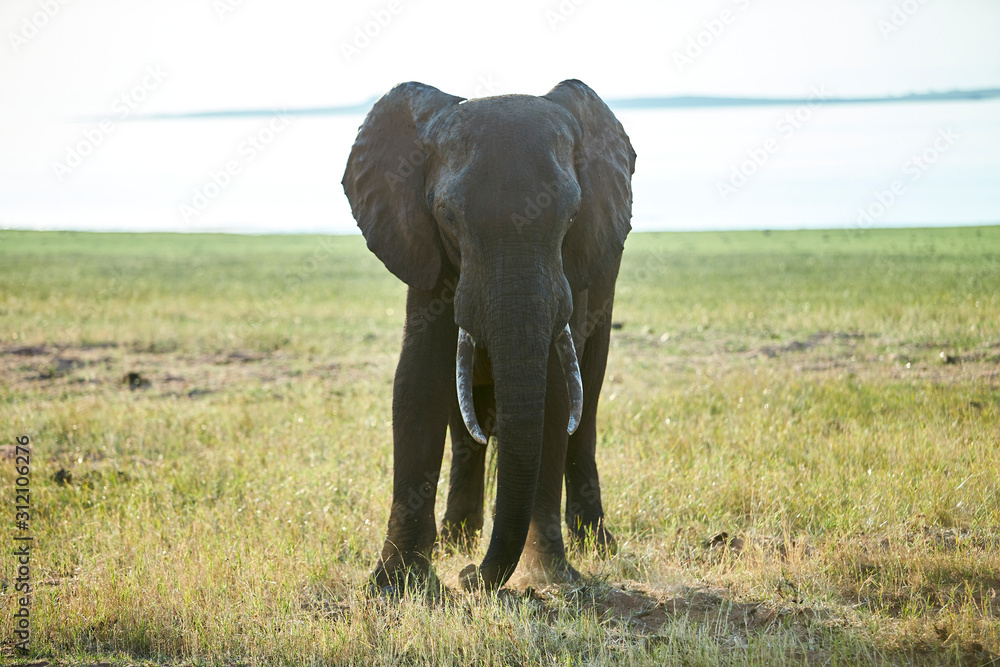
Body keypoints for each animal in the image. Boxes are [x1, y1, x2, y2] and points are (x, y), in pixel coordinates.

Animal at [342, 79, 635, 592]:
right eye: (447, 217)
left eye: (572, 216)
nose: (468, 578)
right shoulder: (425, 251)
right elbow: (416, 382)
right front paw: (395, 586)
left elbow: (555, 394)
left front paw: (550, 577)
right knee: (465, 419)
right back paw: (455, 542)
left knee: (589, 399)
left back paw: (596, 546)